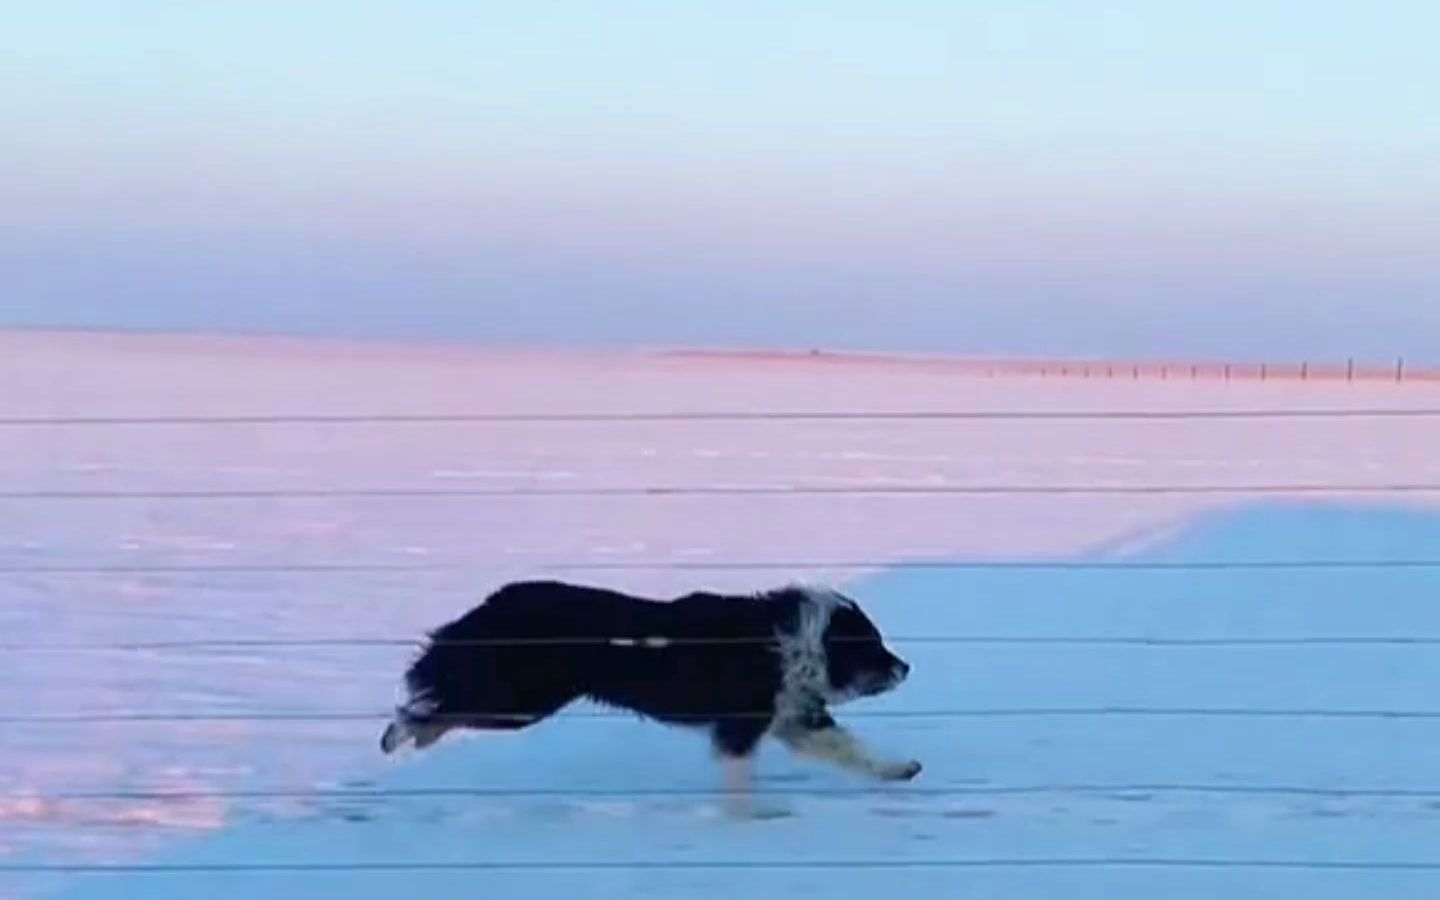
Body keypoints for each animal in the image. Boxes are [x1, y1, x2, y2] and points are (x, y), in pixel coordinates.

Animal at [380, 578, 921, 812]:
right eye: (874, 646)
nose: (907, 667)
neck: (792, 639)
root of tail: (493, 603)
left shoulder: (794, 716)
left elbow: (852, 749)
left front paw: (899, 769)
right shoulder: (742, 723)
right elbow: (739, 779)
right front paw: (744, 820)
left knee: (442, 704)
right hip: (518, 698)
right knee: (435, 705)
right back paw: (398, 734)